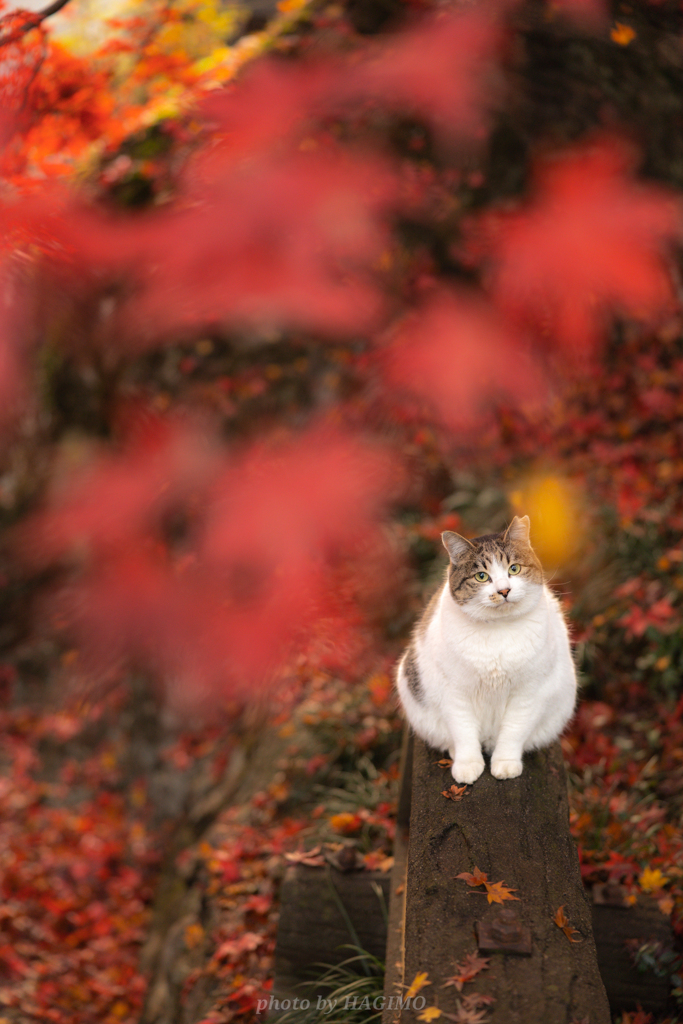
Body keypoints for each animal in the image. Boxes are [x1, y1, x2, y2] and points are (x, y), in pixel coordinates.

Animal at [395, 512, 577, 782]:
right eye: (481, 576)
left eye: (514, 569)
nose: (504, 590)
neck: (498, 631)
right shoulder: (454, 692)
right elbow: (463, 731)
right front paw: (467, 765)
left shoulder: (529, 692)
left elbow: (513, 731)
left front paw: (506, 764)